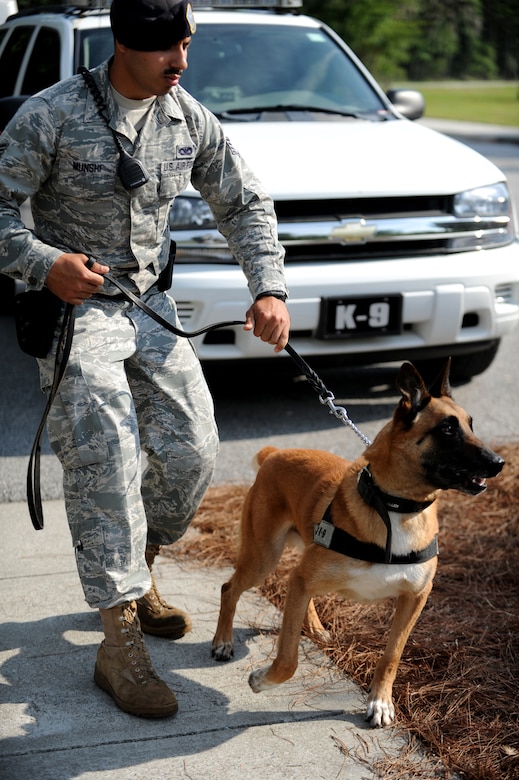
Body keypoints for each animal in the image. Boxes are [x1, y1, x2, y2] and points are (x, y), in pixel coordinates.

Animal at [211, 362, 504, 728]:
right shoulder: (306, 579)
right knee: (230, 588)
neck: (394, 506)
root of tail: (275, 454)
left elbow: (392, 654)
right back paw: (222, 641)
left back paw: (315, 627)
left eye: (471, 425)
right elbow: (288, 658)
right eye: (448, 429)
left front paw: (380, 701)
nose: (498, 462)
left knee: (295, 592)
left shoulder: (415, 597)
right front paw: (262, 680)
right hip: (262, 558)